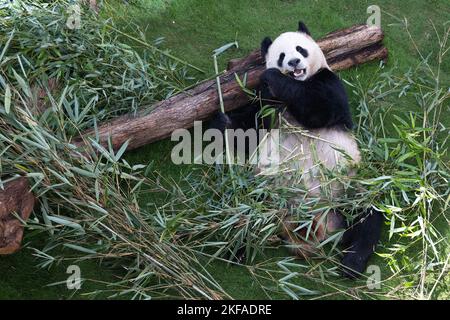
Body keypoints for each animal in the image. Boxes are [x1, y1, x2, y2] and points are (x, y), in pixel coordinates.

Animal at [211, 21, 384, 278]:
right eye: (282, 55)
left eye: (300, 49)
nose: (293, 62)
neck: (298, 82)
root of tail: (310, 228)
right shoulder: (266, 104)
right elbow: (249, 128)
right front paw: (221, 121)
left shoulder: (329, 83)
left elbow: (318, 107)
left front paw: (274, 77)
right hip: (264, 192)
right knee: (241, 212)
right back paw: (234, 246)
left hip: (346, 190)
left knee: (368, 215)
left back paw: (352, 263)